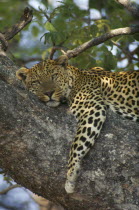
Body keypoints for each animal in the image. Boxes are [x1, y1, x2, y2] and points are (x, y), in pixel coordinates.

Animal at [16, 55, 139, 194]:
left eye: (54, 76)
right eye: (36, 82)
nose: (49, 93)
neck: (75, 78)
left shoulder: (92, 109)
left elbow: (77, 143)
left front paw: (71, 174)